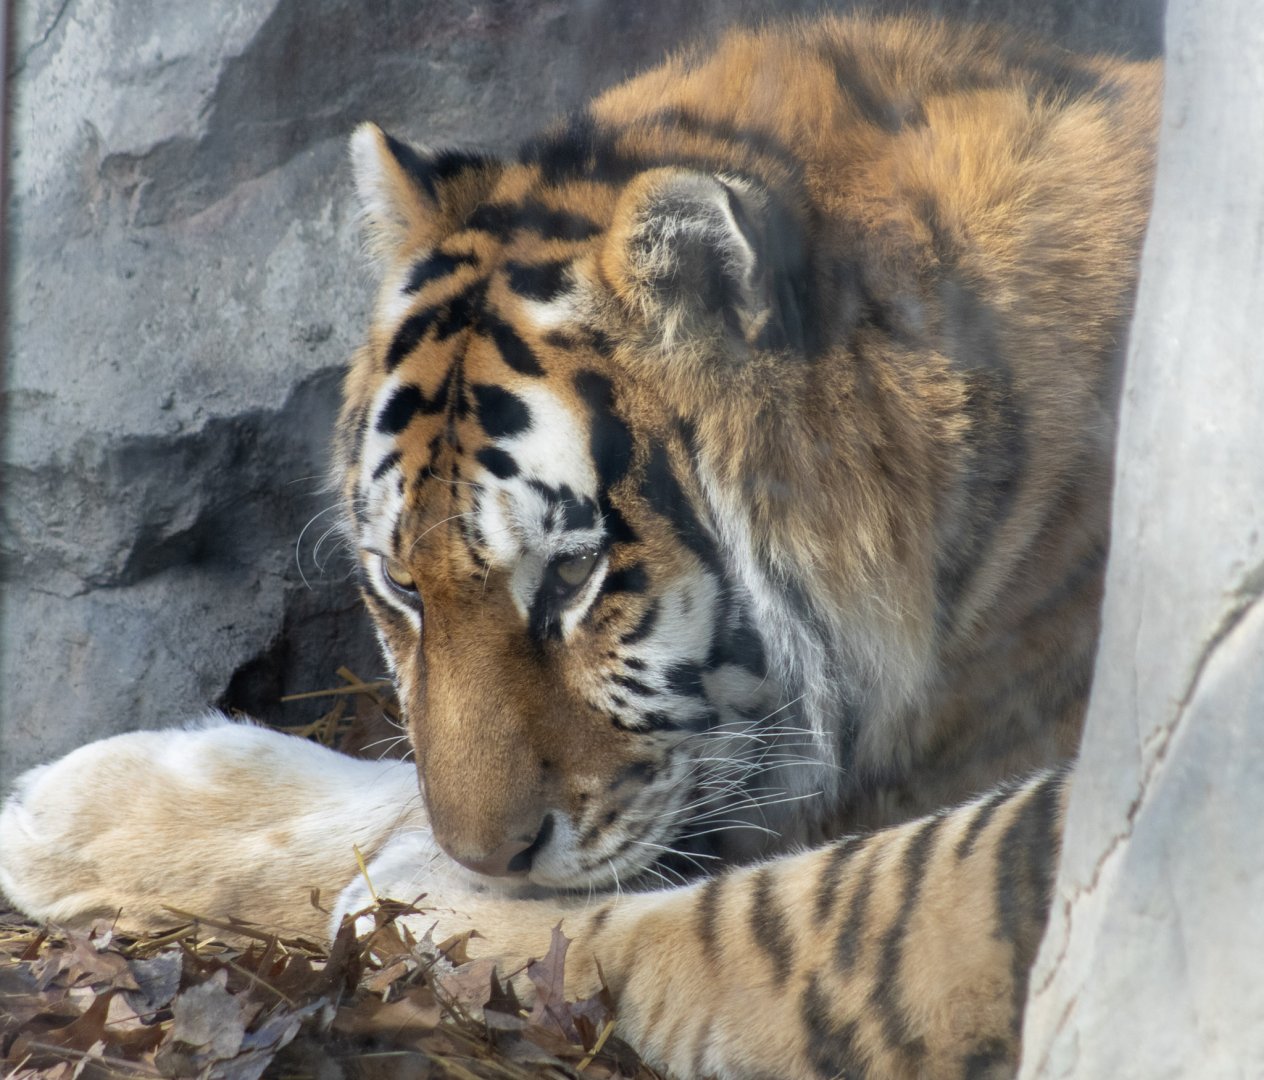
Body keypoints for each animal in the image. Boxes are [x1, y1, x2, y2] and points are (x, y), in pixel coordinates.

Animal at [0, 15, 1160, 1080]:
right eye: (399, 585)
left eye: (568, 578)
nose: (484, 854)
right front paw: (64, 809)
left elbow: (773, 919)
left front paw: (411, 897)